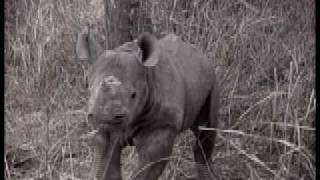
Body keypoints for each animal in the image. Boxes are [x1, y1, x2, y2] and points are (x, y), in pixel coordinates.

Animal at [76, 26, 219, 180]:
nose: (104, 116)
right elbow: (107, 164)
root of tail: (200, 53)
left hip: (213, 77)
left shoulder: (163, 125)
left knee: (206, 129)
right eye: (89, 89)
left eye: (134, 95)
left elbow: (147, 166)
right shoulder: (106, 130)